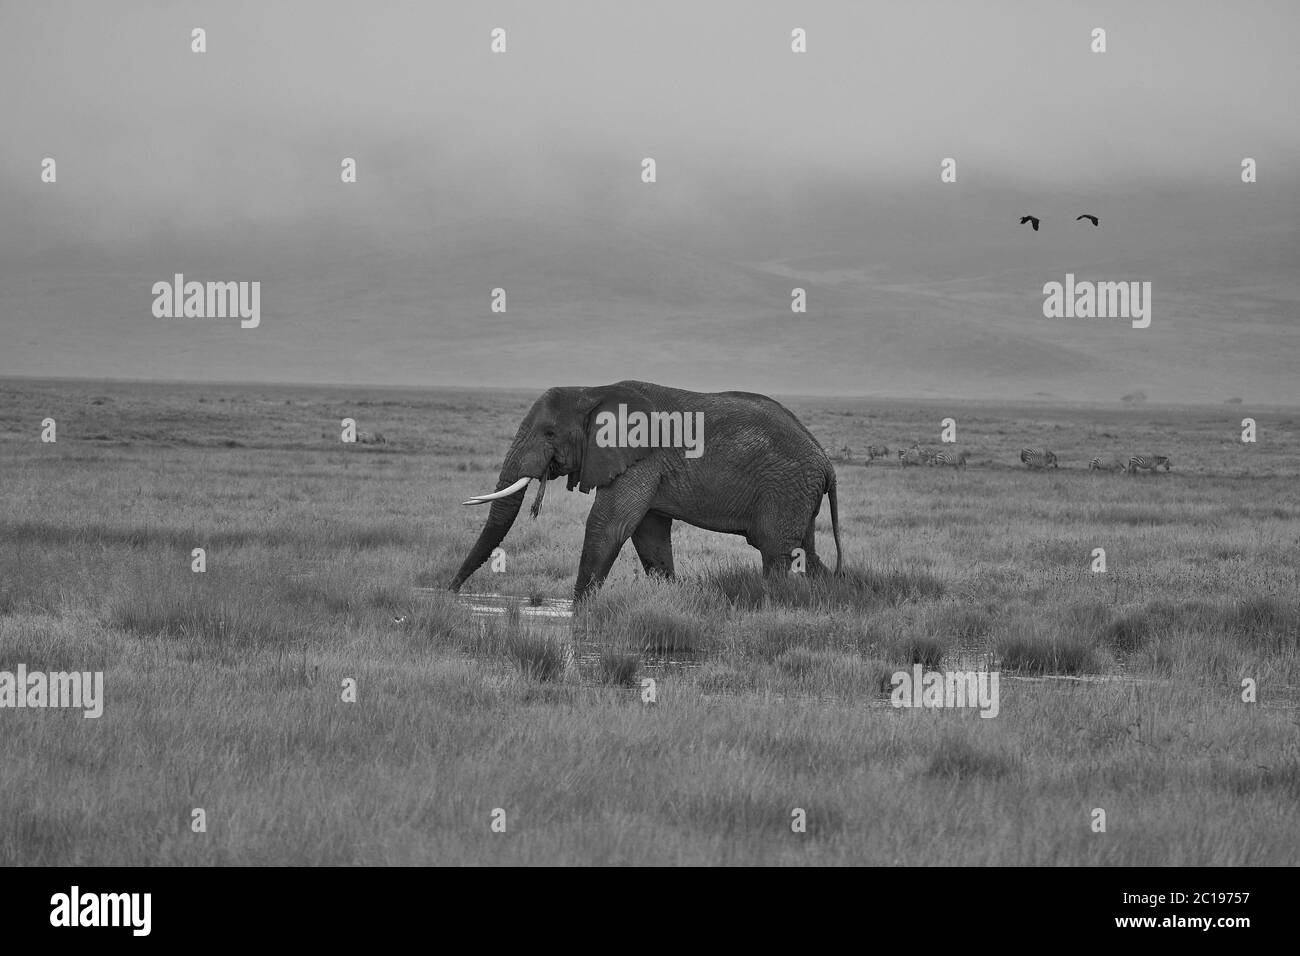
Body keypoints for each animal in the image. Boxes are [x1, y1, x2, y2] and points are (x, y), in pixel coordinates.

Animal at [449, 381, 843, 600]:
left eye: (549, 433)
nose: (449, 591)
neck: (591, 391)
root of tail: (827, 462)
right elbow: (648, 534)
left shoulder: (640, 458)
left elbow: (608, 525)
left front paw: (579, 611)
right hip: (798, 494)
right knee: (804, 552)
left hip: (786, 488)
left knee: (775, 553)